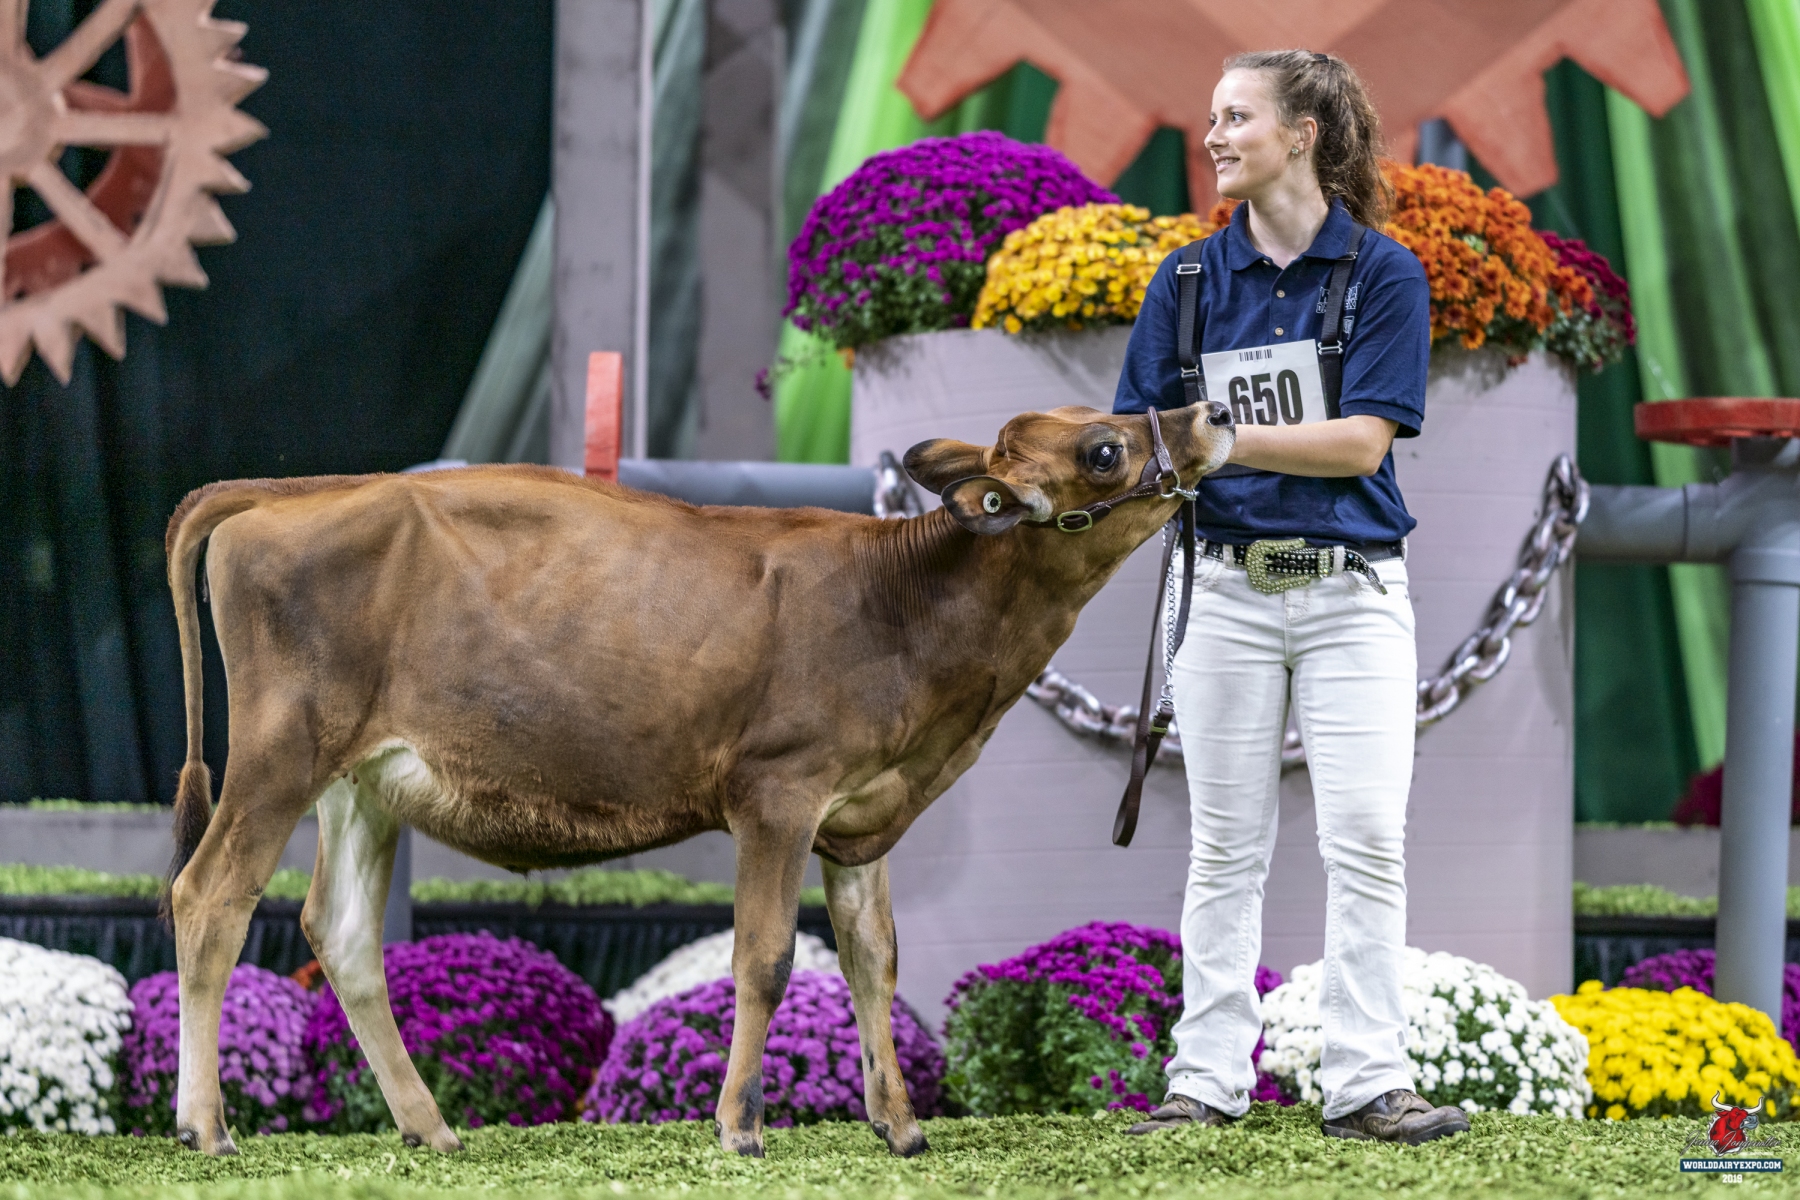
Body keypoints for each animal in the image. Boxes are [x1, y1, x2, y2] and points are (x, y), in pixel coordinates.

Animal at [161, 400, 1235, 1159]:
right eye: (1105, 448)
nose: (1212, 410)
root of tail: (297, 493)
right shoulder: (779, 794)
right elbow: (764, 959)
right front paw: (739, 1123)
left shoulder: (860, 817)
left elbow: (875, 960)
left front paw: (898, 1123)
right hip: (279, 751)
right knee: (209, 897)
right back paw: (206, 1125)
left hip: (362, 780)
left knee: (341, 933)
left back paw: (429, 1127)